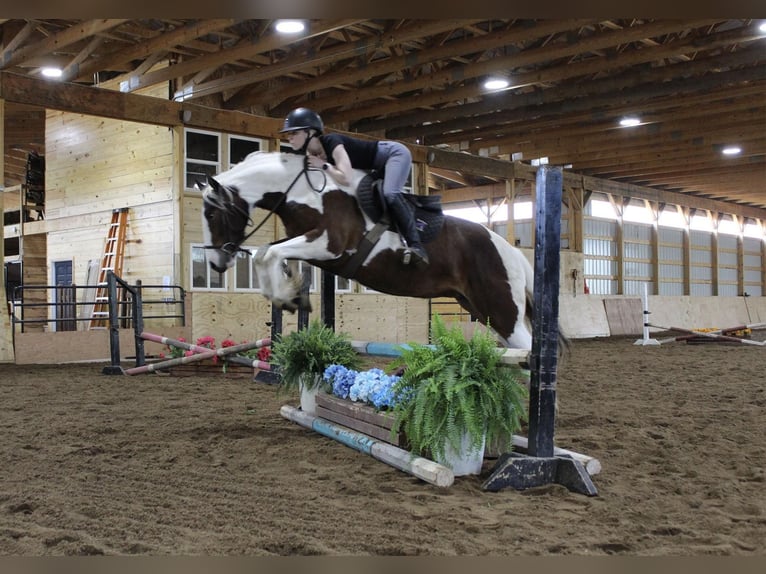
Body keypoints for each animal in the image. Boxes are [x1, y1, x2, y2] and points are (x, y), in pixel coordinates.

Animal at [204, 151, 540, 352]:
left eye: (210, 214)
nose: (216, 262)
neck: (303, 191)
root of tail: (512, 252)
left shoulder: (328, 245)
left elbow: (268, 254)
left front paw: (285, 298)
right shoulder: (307, 245)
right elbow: (268, 253)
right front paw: (290, 295)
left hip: (501, 311)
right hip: (479, 308)